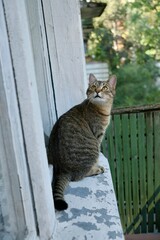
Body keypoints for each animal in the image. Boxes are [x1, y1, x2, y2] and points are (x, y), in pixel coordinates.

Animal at [47, 73, 116, 210]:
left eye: (105, 87)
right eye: (94, 86)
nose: (97, 91)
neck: (102, 108)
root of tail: (63, 170)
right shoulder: (98, 135)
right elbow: (98, 154)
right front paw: (98, 164)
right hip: (92, 149)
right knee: (79, 176)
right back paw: (96, 169)